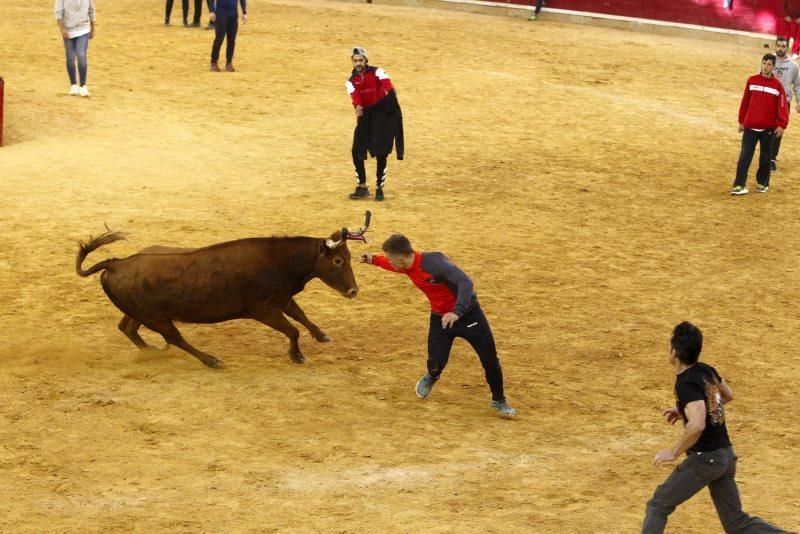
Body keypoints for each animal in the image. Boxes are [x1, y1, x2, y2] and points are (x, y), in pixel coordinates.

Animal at [76, 214, 370, 368]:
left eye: (348, 258)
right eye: (338, 261)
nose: (353, 291)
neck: (280, 260)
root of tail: (116, 263)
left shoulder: (282, 299)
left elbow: (302, 316)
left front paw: (322, 336)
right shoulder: (264, 310)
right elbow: (293, 329)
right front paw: (296, 355)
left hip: (141, 313)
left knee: (127, 327)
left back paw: (151, 351)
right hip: (156, 318)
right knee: (175, 338)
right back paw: (210, 360)